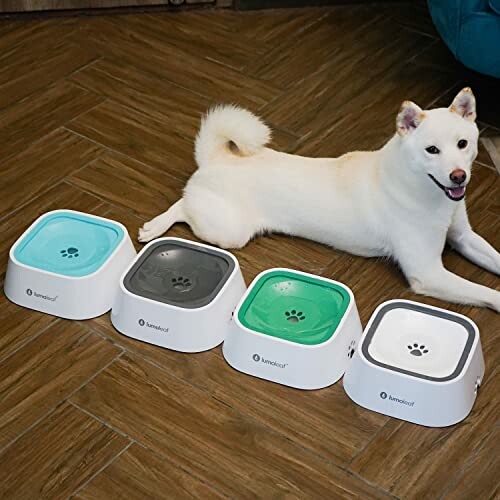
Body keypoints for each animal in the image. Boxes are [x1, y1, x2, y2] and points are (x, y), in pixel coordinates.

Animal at [139, 88, 500, 310]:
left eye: (463, 144)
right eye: (432, 150)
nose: (459, 176)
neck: (428, 193)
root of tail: (216, 157)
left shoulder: (465, 237)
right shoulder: (428, 272)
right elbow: (485, 291)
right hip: (228, 231)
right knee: (183, 206)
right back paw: (154, 226)